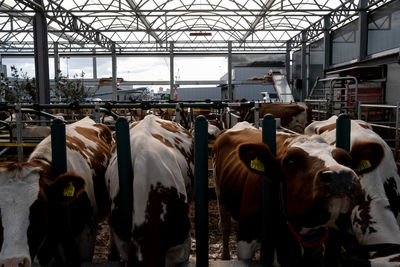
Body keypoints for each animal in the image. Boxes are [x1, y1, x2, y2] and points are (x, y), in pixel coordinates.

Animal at [211, 122, 376, 264]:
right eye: (289, 162)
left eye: (346, 161)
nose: (340, 176)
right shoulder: (246, 239)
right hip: (219, 192)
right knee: (224, 225)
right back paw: (225, 256)